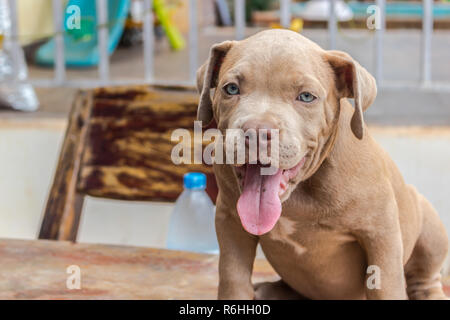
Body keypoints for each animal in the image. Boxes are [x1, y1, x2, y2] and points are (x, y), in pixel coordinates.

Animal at [195, 29, 448, 300]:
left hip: (429, 225)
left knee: (424, 276)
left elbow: (385, 285)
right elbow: (233, 276)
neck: (299, 192)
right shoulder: (230, 218)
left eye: (306, 97)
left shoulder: (381, 231)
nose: (256, 131)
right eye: (231, 89)